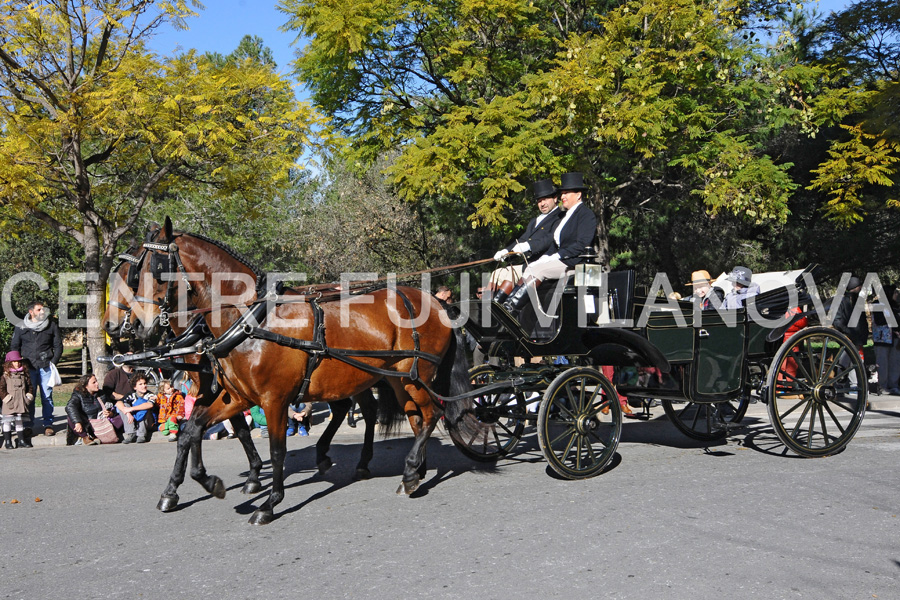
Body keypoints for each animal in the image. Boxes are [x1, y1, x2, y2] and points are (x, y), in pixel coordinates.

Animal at [120, 218, 472, 524]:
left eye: (156, 267)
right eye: (136, 272)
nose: (137, 326)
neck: (251, 320)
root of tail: (437, 303)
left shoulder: (273, 400)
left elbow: (277, 450)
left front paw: (269, 503)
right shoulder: (237, 396)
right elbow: (191, 431)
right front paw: (203, 483)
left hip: (416, 377)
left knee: (430, 414)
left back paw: (410, 470)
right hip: (395, 380)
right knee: (412, 417)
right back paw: (411, 471)